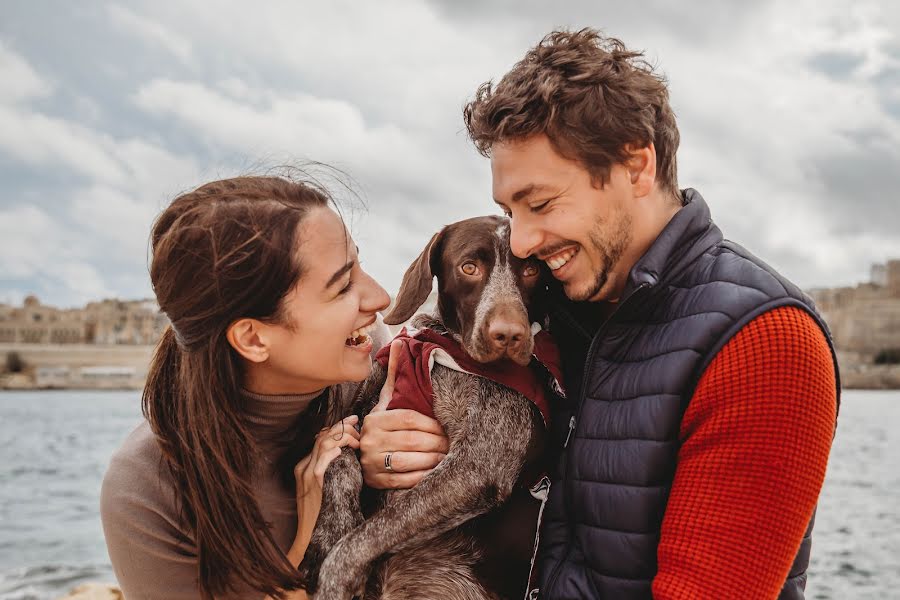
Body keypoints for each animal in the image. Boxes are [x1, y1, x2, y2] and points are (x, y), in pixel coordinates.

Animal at [302, 216, 564, 600]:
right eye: (469, 267)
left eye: (531, 270)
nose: (509, 335)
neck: (442, 346)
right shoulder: (357, 415)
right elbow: (341, 460)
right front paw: (328, 533)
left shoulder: (476, 467)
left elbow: (362, 540)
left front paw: (334, 578)